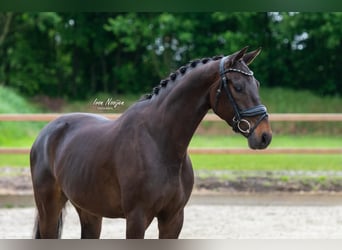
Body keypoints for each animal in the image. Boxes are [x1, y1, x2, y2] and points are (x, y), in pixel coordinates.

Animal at [31, 47, 272, 238]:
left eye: (257, 84)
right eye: (238, 86)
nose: (265, 136)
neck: (159, 143)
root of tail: (46, 133)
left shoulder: (173, 219)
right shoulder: (137, 218)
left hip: (89, 211)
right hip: (48, 208)